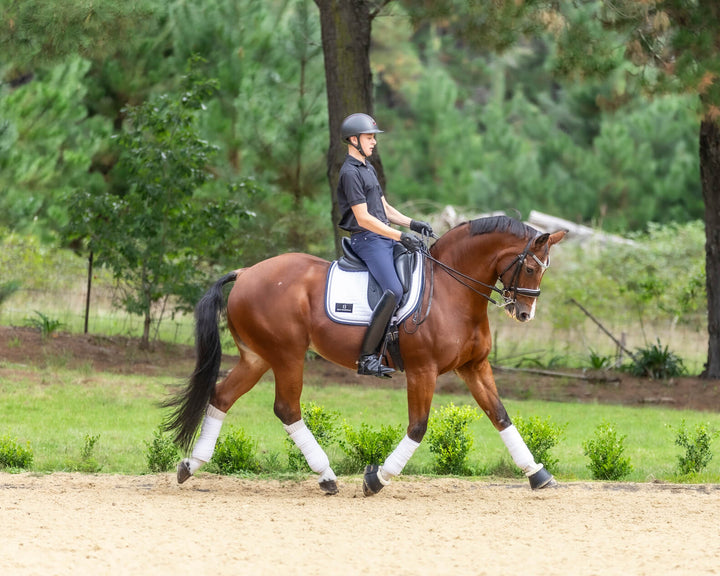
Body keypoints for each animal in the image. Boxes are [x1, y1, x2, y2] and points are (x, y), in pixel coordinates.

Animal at [165, 216, 568, 496]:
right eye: (530, 267)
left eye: (544, 269)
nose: (524, 314)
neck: (451, 291)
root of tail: (247, 271)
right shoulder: (423, 370)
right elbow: (418, 427)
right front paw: (377, 478)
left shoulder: (474, 366)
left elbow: (500, 415)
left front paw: (538, 474)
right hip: (287, 355)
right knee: (287, 409)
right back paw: (326, 476)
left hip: (257, 357)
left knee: (222, 396)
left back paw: (191, 464)